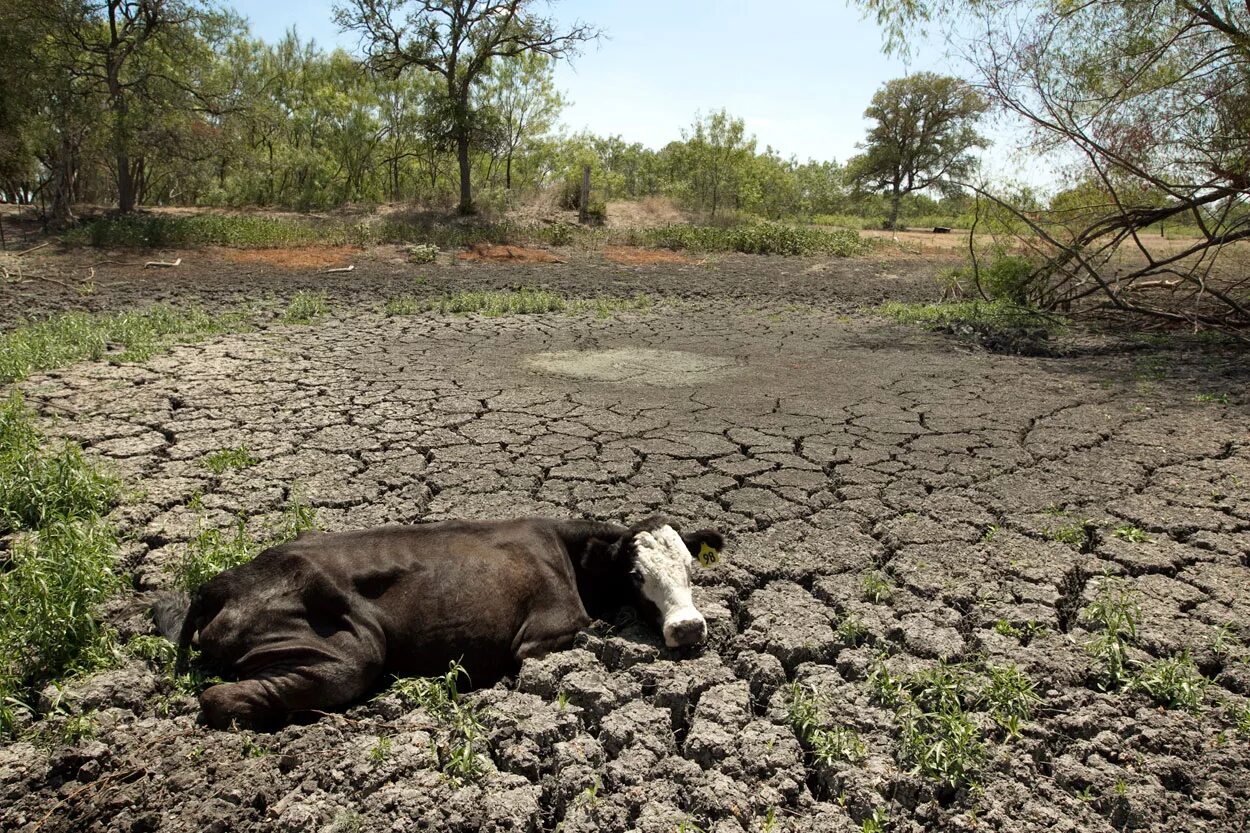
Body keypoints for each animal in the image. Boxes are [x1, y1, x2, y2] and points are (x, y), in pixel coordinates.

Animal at [155, 512, 725, 725]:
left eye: (690, 567)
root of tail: (221, 583)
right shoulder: (542, 633)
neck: (567, 550)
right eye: (635, 574)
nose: (688, 627)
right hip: (348, 651)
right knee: (218, 696)